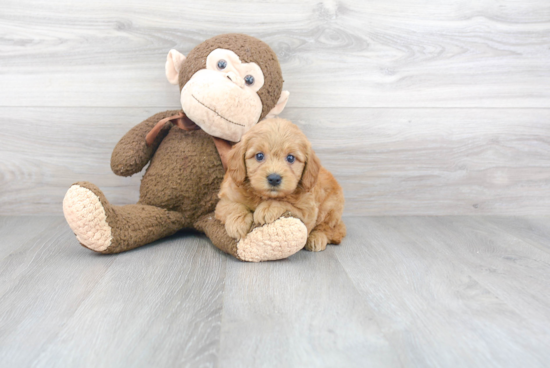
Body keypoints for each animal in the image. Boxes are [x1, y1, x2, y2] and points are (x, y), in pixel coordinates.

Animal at [215, 119, 344, 252]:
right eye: (259, 156)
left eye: (290, 158)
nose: (274, 178)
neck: (262, 195)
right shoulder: (224, 200)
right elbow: (232, 206)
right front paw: (237, 222)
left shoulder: (308, 212)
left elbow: (286, 203)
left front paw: (268, 208)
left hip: (330, 209)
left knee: (330, 228)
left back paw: (317, 238)